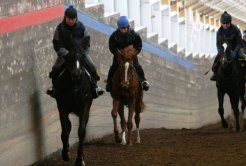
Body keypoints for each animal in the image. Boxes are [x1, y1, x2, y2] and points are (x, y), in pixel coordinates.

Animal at [53, 36, 92, 166]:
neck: (75, 86)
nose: (76, 74)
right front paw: (66, 154)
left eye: (83, 56)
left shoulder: (85, 107)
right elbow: (65, 131)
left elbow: (81, 132)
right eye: (69, 56)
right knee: (68, 126)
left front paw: (80, 159)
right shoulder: (62, 107)